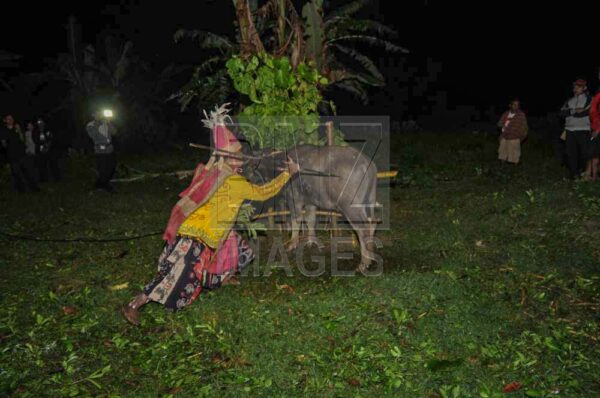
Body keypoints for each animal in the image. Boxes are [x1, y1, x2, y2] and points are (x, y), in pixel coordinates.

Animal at [243, 145, 376, 272]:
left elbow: (296, 220)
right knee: (372, 224)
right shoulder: (310, 202)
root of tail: (367, 164)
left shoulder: (294, 199)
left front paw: (292, 243)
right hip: (368, 202)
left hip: (351, 207)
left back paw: (364, 263)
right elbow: (310, 220)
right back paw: (371, 256)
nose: (246, 177)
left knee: (362, 229)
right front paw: (312, 241)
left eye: (252, 167)